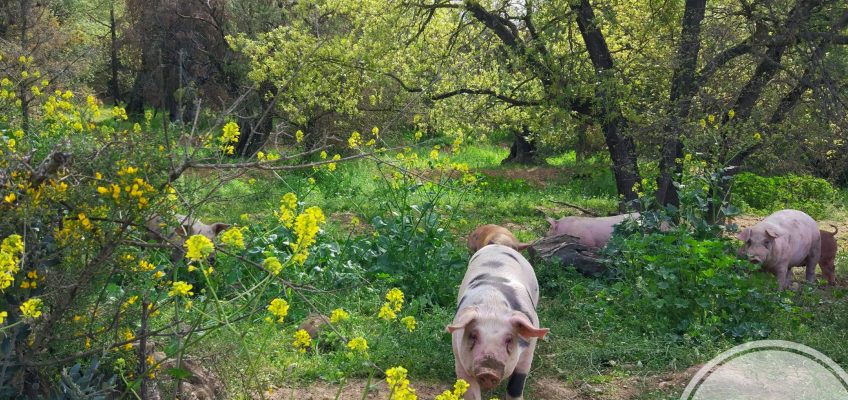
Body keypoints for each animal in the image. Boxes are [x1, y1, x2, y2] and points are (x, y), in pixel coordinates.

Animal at [450, 244, 548, 400]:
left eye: (509, 339)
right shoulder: (459, 358)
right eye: (473, 336)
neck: (492, 307)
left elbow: (516, 385)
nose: (488, 370)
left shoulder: (528, 352)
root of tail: (498, 245)